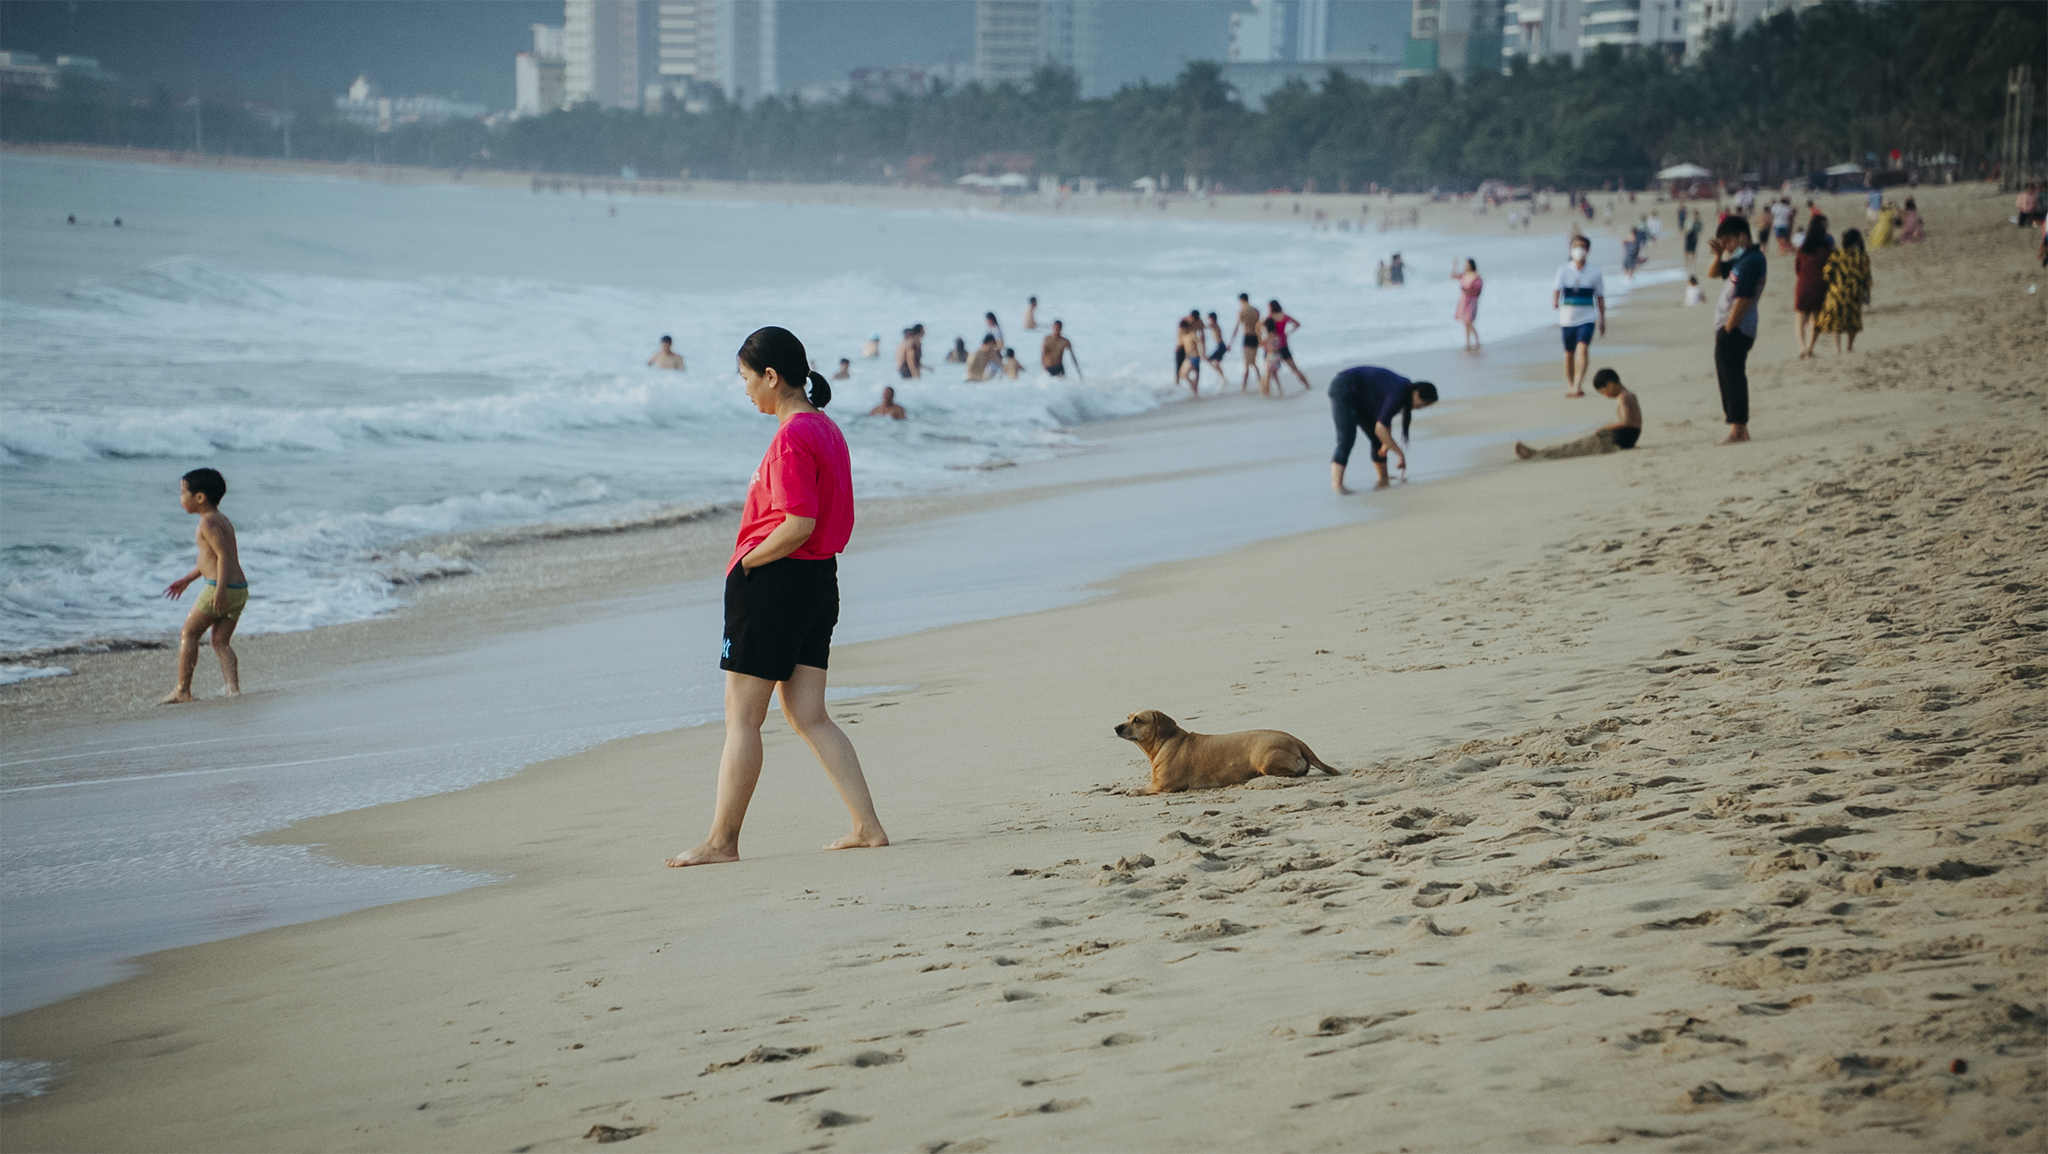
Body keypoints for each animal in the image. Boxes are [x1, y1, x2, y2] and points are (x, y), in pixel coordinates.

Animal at [1114, 713, 1335, 795]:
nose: (1116, 727)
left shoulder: (1164, 786)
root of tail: (1296, 740)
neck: (1164, 742)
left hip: (1263, 760)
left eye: (1137, 720)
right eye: (1128, 717)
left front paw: (1133, 790)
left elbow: (1141, 789)